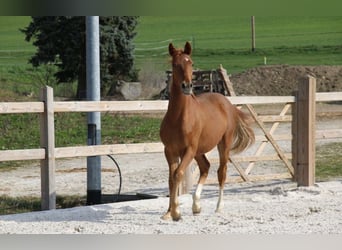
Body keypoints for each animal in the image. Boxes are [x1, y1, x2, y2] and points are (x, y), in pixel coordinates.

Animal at [160, 42, 254, 222]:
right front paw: (169, 212)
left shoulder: (188, 150)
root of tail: (227, 104)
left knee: (221, 172)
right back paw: (196, 206)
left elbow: (178, 174)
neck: (179, 117)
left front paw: (176, 213)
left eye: (191, 63)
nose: (187, 86)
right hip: (199, 151)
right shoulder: (170, 151)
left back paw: (218, 207)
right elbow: (170, 178)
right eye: (175, 64)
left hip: (223, 144)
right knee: (205, 167)